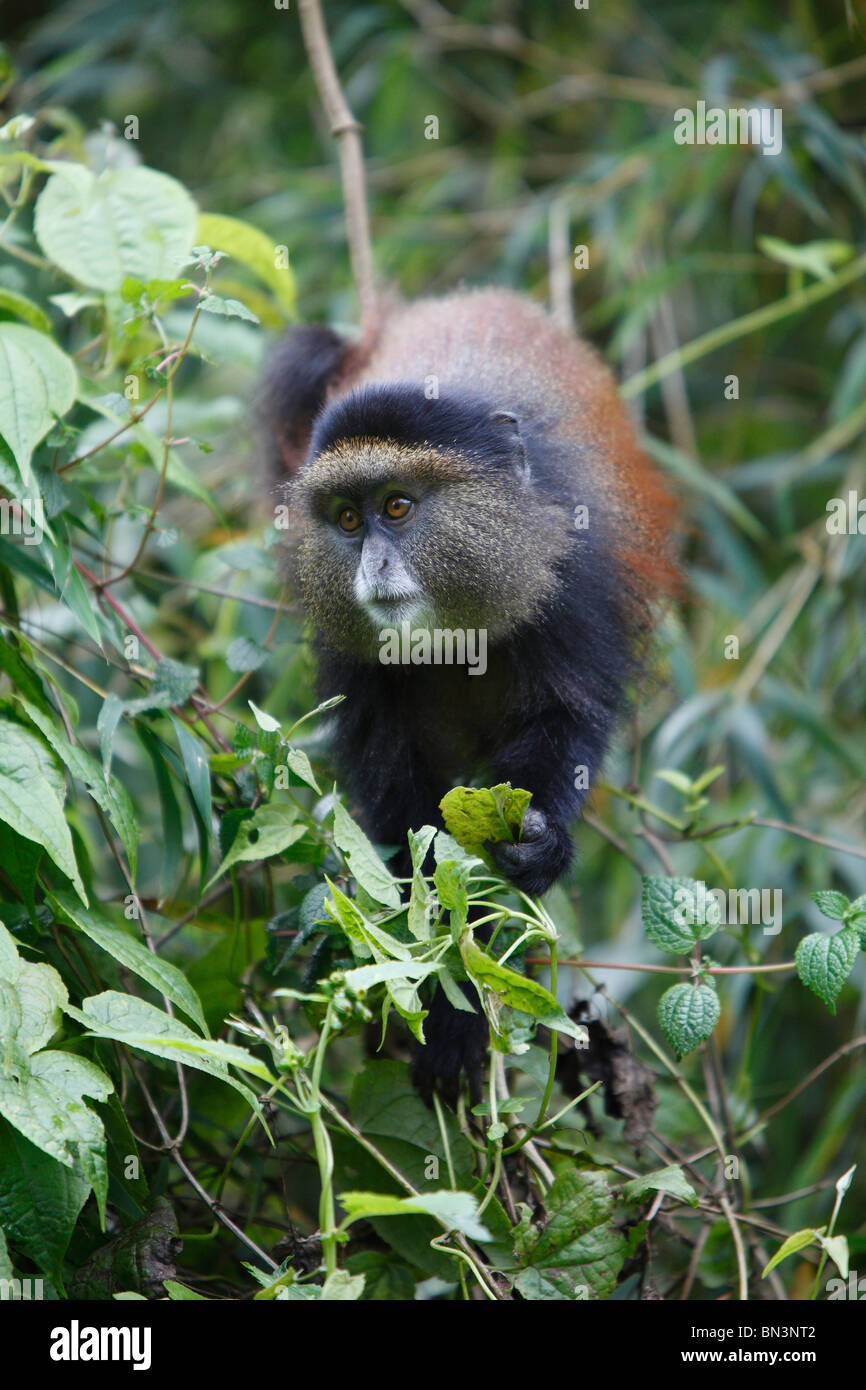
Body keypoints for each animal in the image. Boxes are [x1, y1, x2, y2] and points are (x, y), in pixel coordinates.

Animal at [261, 287, 677, 1105]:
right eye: (348, 519)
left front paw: (540, 849)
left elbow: (567, 720)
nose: (372, 568)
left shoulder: (573, 571)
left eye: (397, 508)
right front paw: (446, 996)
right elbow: (400, 799)